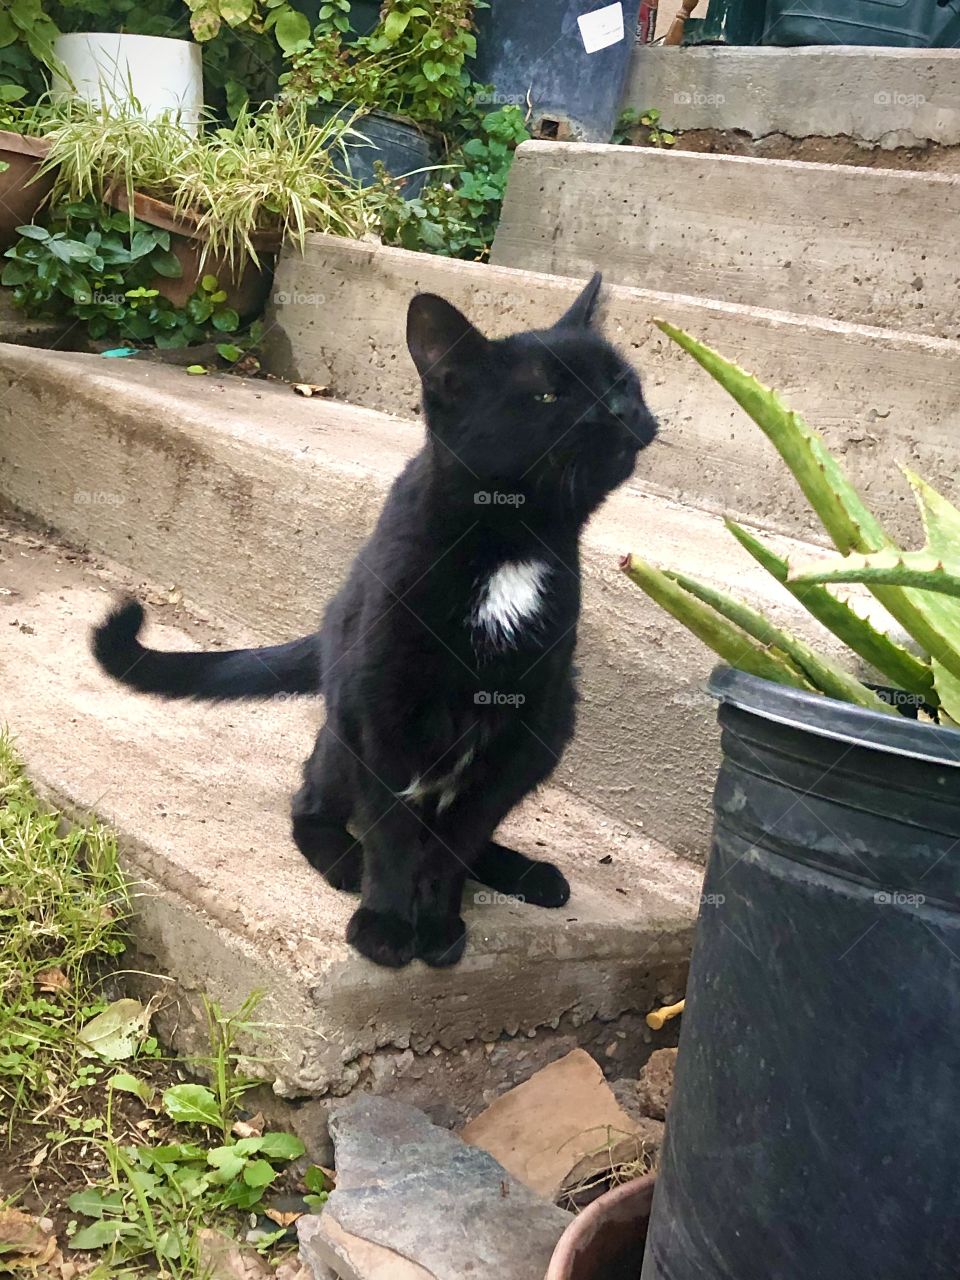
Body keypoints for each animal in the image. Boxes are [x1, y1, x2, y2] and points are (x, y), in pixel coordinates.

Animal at [92, 272, 660, 967]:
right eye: (548, 395)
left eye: (623, 381)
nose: (622, 412)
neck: (513, 543)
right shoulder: (382, 706)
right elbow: (391, 832)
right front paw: (386, 924)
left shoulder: (524, 720)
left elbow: (459, 838)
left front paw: (438, 924)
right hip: (345, 722)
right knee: (312, 802)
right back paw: (344, 859)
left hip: (554, 725)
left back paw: (520, 871)